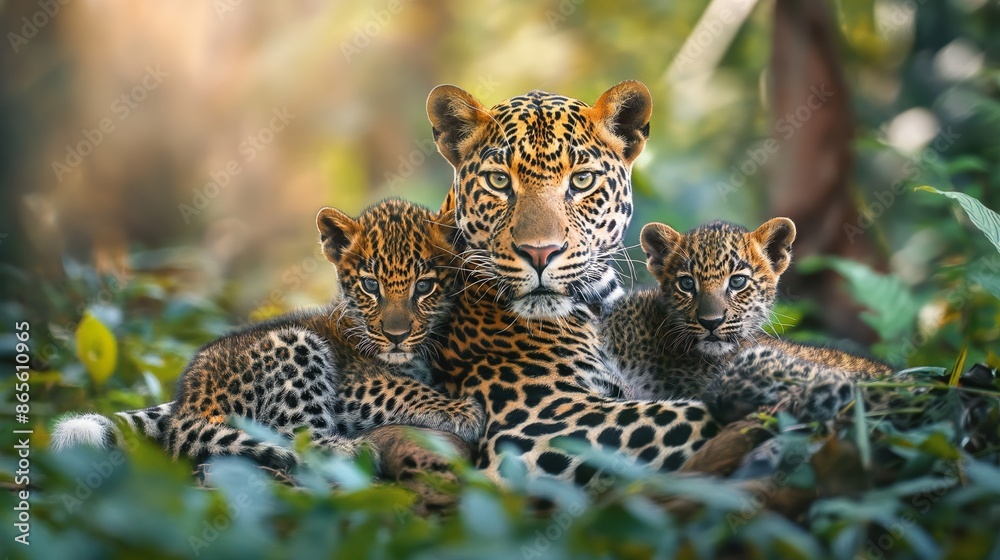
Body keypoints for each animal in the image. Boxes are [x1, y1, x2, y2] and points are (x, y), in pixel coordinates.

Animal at [52, 199, 485, 473]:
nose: (396, 335)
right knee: (297, 438)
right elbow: (398, 387)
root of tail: (186, 404)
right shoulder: (353, 386)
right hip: (294, 345)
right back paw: (354, 449)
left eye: (424, 287)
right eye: (370, 285)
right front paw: (461, 411)